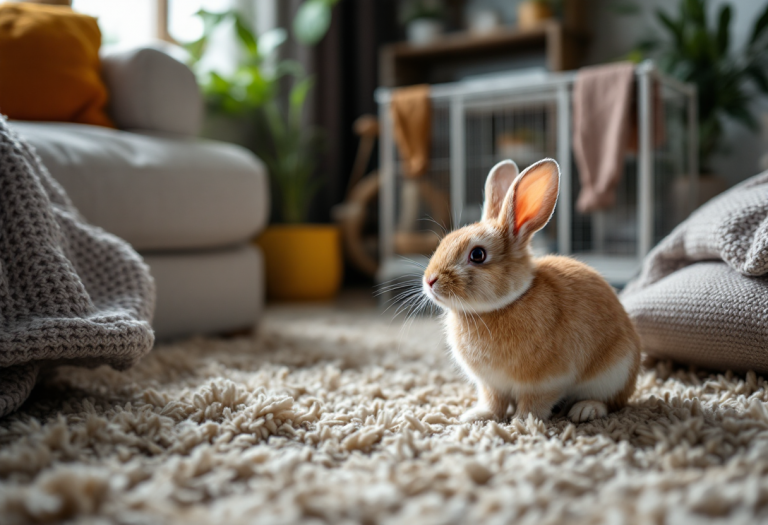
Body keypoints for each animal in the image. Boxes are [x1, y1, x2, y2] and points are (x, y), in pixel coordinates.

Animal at [424, 158, 640, 424]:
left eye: (478, 255)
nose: (429, 280)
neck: (504, 304)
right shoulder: (491, 385)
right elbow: (493, 402)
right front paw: (476, 416)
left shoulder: (546, 381)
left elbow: (534, 403)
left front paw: (522, 422)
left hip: (614, 373)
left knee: (612, 401)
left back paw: (585, 410)